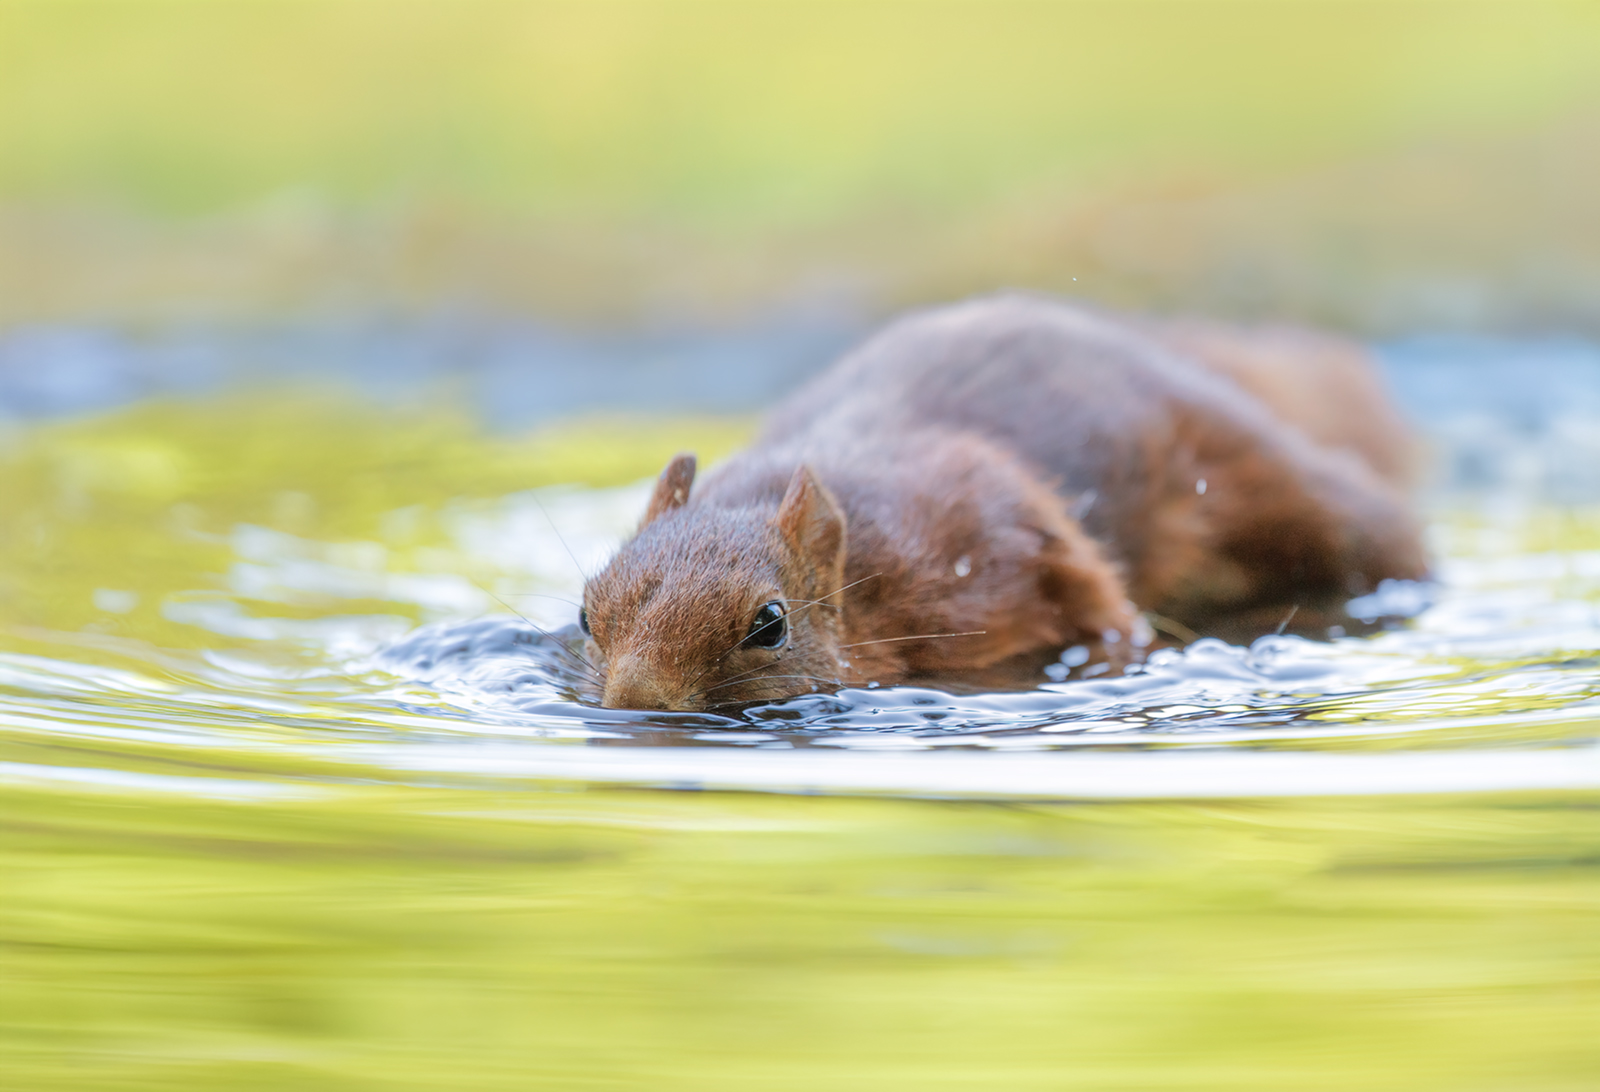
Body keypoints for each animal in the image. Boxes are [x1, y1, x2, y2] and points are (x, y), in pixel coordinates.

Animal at [576, 293, 1427, 710]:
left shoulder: (987, 529)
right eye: (585, 614)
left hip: (1290, 494)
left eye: (770, 625)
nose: (636, 701)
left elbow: (1102, 606)